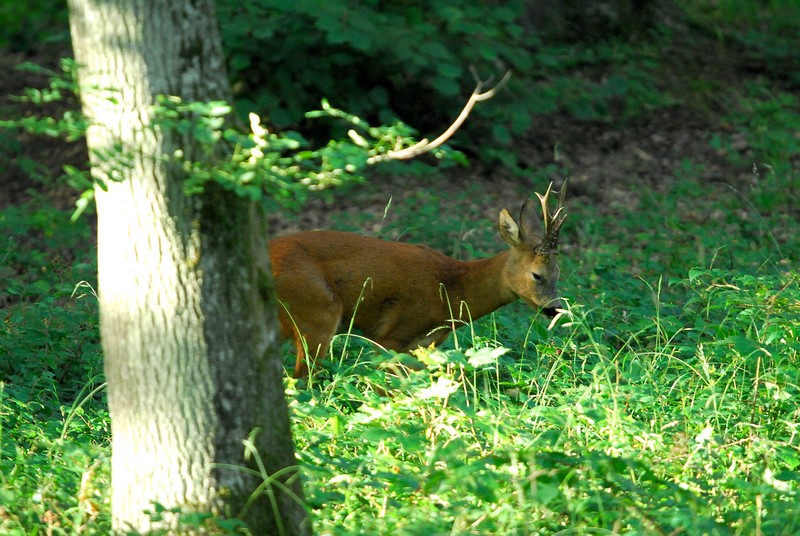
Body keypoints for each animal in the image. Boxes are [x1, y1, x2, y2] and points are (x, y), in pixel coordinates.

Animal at [272, 182, 564, 378]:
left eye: (558, 273)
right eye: (537, 274)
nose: (555, 309)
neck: (453, 291)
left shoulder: (423, 345)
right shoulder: (392, 336)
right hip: (317, 310)